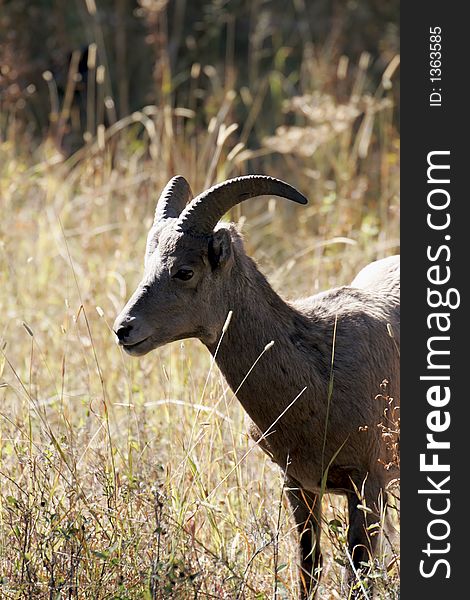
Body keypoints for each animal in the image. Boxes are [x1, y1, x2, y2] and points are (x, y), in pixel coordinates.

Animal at [114, 176, 400, 596]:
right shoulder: (297, 486)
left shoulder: (368, 485)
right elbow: (309, 567)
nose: (124, 329)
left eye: (184, 271)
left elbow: (358, 576)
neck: (318, 373)